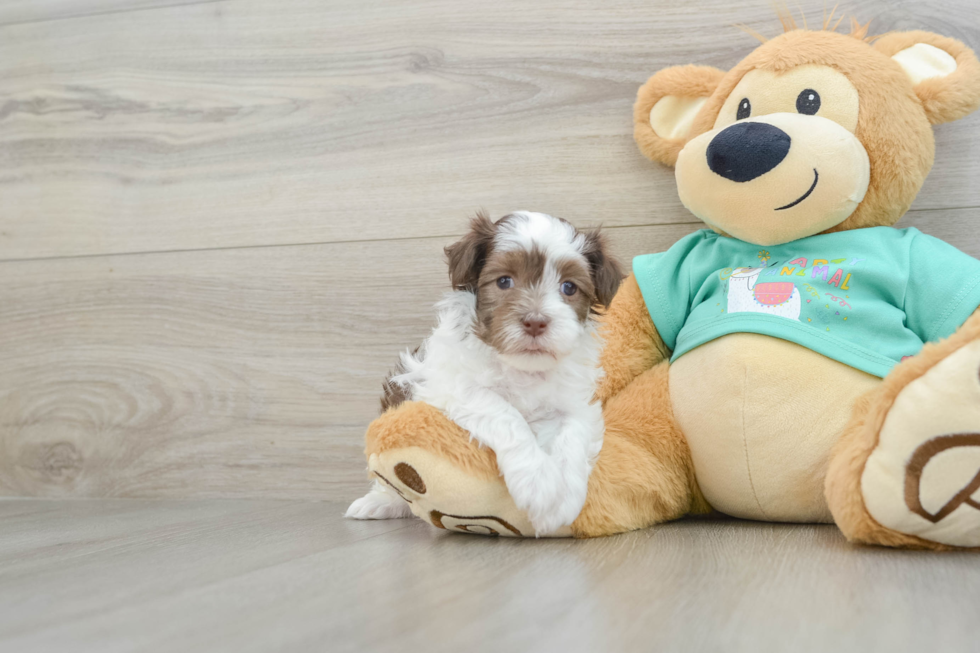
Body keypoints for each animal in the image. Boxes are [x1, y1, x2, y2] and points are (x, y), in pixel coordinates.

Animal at [348, 211, 624, 532]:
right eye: (504, 281)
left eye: (569, 287)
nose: (535, 321)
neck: (522, 369)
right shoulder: (455, 386)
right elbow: (504, 413)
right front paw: (539, 484)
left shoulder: (576, 403)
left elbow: (574, 435)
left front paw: (564, 499)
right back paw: (380, 502)